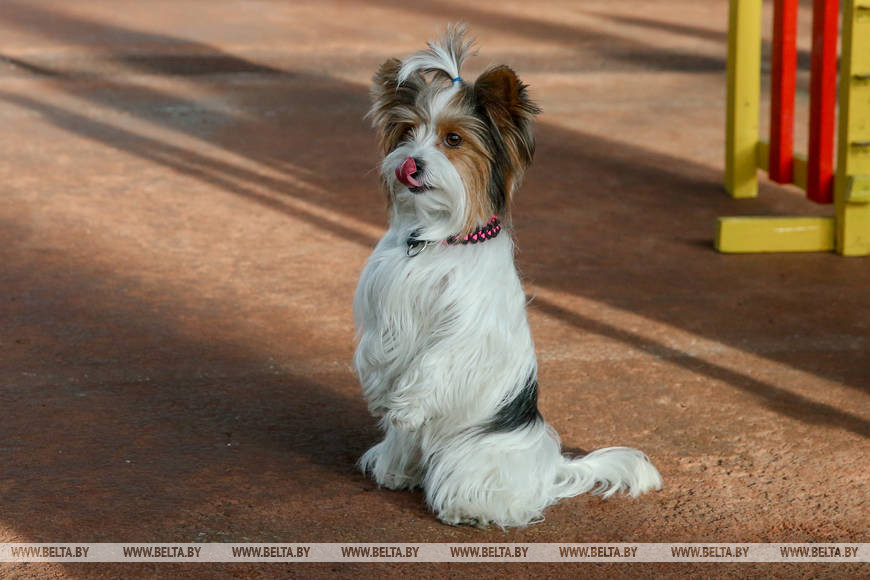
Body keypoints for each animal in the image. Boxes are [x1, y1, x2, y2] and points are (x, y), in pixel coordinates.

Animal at [353, 25, 662, 528]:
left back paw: (471, 507)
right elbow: (379, 350)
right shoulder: (385, 300)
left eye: (453, 140)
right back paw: (399, 470)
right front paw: (382, 396)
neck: (436, 240)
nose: (410, 163)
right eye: (407, 132)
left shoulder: (469, 330)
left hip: (477, 454)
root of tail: (550, 466)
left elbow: (434, 363)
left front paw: (405, 404)